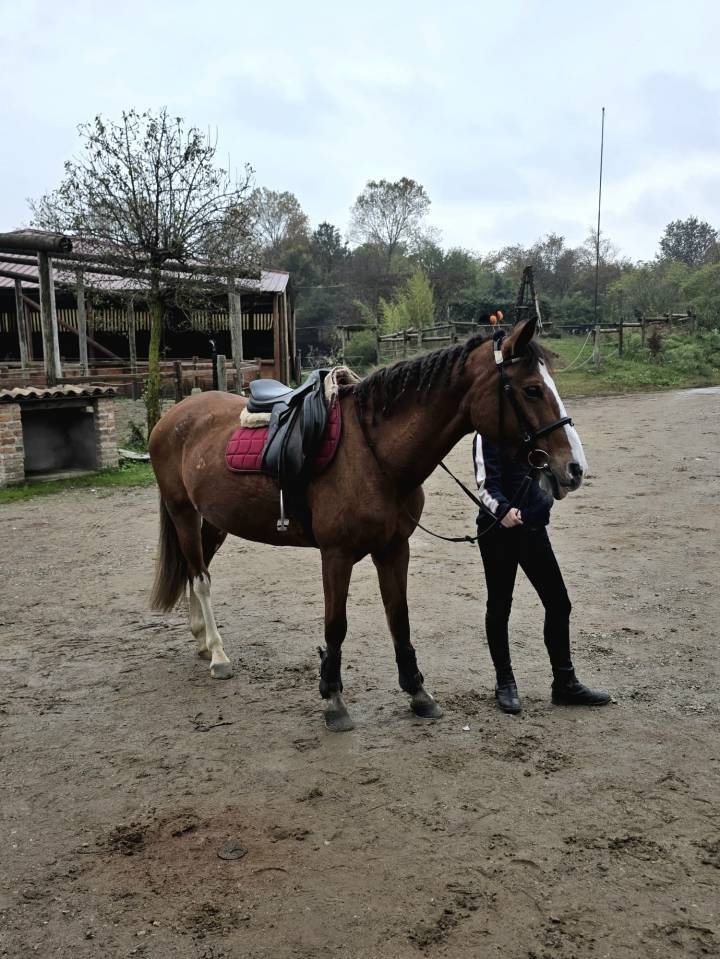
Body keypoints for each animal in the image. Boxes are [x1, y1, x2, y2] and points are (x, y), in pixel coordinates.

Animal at [148, 318, 587, 731]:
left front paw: (417, 692)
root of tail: (173, 416)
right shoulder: (336, 555)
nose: (574, 468)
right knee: (200, 578)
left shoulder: (394, 549)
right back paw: (218, 654)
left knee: (196, 570)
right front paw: (333, 699)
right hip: (183, 512)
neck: (375, 455)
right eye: (532, 389)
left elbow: (399, 617)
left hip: (214, 521)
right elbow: (336, 626)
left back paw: (202, 640)